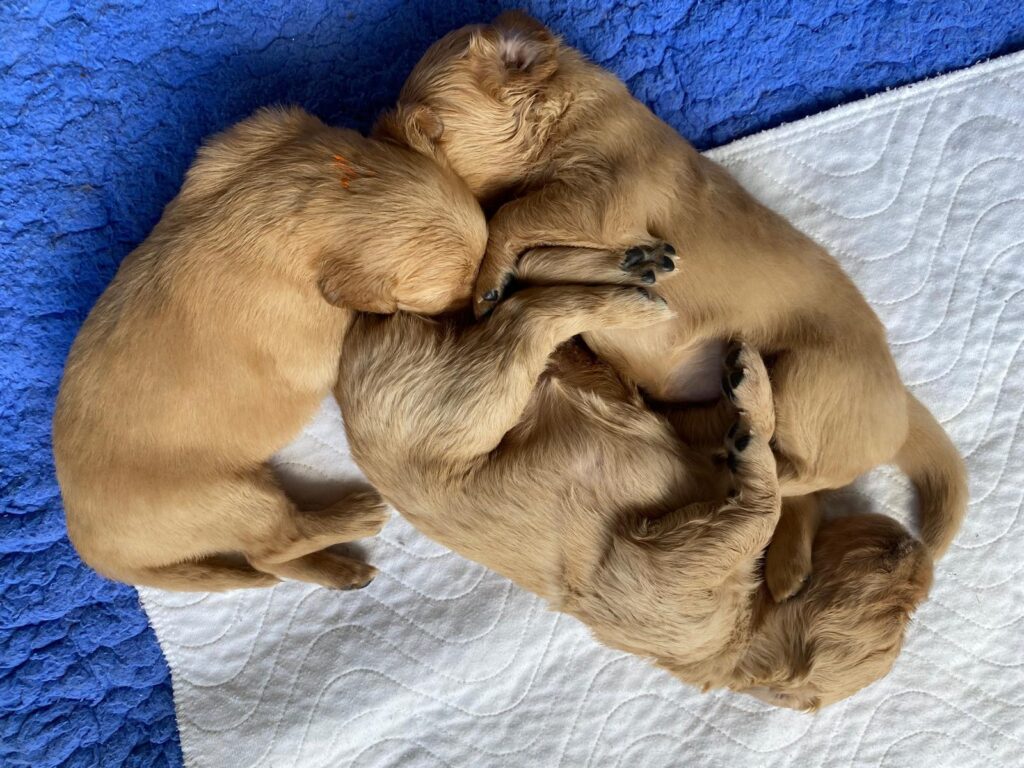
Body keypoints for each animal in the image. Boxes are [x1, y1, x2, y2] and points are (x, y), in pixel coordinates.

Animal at [53, 106, 487, 592]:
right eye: (454, 295)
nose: (487, 304)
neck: (317, 188)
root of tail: (95, 552)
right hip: (233, 498)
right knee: (274, 548)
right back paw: (353, 523)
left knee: (271, 560)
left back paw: (341, 570)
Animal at [335, 249, 933, 710]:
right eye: (903, 613)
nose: (913, 546)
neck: (752, 622)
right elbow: (762, 490)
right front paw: (755, 393)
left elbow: (757, 495)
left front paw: (750, 414)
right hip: (478, 398)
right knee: (529, 305)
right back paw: (634, 283)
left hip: (474, 392)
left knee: (525, 305)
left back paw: (632, 278)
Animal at [374, 12, 967, 601]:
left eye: (429, 125)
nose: (377, 135)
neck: (565, 114)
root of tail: (902, 405)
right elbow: (540, 253)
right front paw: (632, 265)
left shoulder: (597, 197)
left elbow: (512, 216)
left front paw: (489, 278)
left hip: (808, 381)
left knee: (794, 471)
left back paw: (738, 461)